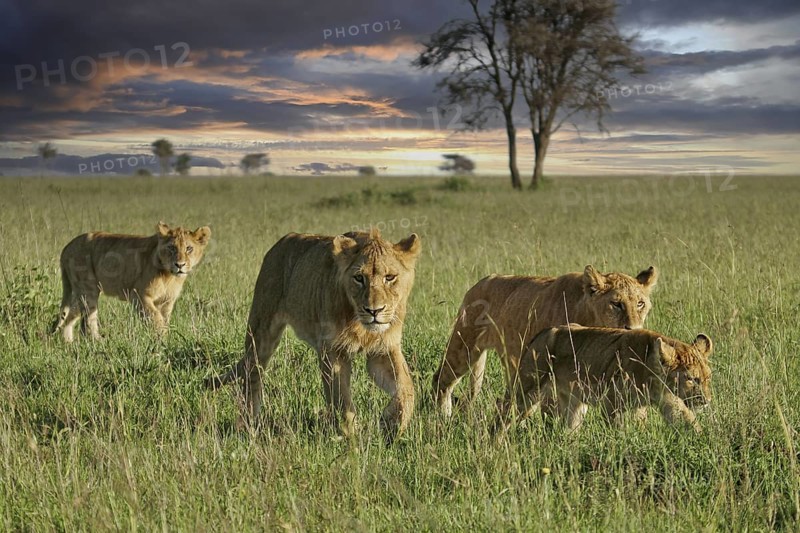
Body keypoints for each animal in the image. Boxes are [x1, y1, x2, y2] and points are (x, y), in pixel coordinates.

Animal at [52, 222, 211, 342]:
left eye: (189, 248)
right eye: (171, 248)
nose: (180, 265)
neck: (170, 276)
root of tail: (67, 246)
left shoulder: (167, 301)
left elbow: (164, 319)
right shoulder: (139, 295)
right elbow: (156, 318)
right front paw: (162, 339)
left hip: (81, 291)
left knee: (72, 316)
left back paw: (73, 342)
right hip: (88, 288)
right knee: (85, 321)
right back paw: (94, 342)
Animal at [205, 229, 422, 443]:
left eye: (390, 277)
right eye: (359, 278)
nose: (374, 311)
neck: (361, 326)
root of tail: (281, 242)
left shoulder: (384, 349)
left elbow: (407, 387)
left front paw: (392, 424)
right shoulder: (332, 350)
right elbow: (341, 399)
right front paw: (349, 438)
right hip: (261, 332)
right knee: (252, 377)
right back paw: (246, 426)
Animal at [433, 265, 657, 416]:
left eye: (640, 304)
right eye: (616, 304)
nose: (634, 329)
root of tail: (481, 281)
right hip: (463, 348)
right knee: (440, 380)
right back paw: (443, 418)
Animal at [497, 325, 713, 434]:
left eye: (707, 378)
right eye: (692, 379)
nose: (707, 401)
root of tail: (542, 332)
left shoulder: (669, 400)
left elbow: (687, 421)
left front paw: (701, 444)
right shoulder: (612, 401)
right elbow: (618, 428)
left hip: (574, 402)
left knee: (570, 428)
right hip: (526, 392)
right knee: (502, 417)